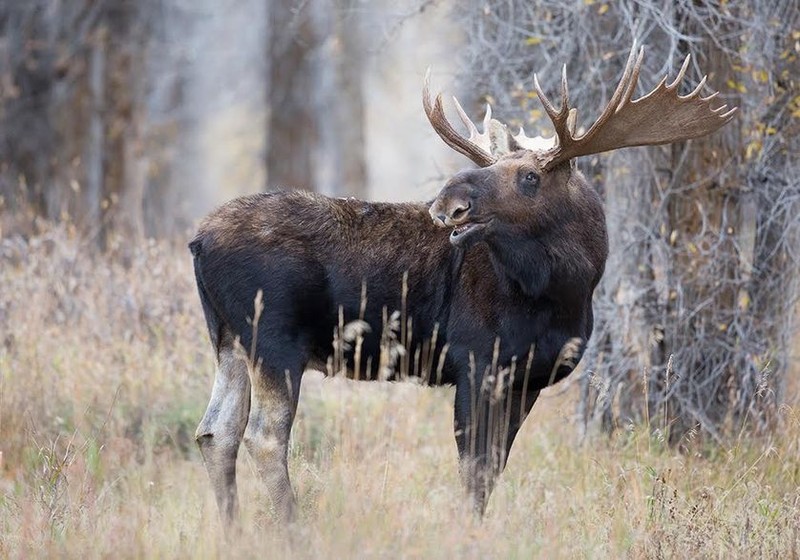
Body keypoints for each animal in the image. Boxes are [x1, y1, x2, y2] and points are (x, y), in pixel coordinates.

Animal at [189, 44, 736, 524]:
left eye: (531, 177)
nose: (448, 202)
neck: (567, 291)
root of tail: (197, 241)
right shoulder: (476, 361)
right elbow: (473, 469)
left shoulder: (526, 378)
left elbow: (493, 468)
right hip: (274, 338)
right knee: (263, 437)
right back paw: (291, 529)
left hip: (229, 339)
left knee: (215, 432)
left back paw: (234, 531)